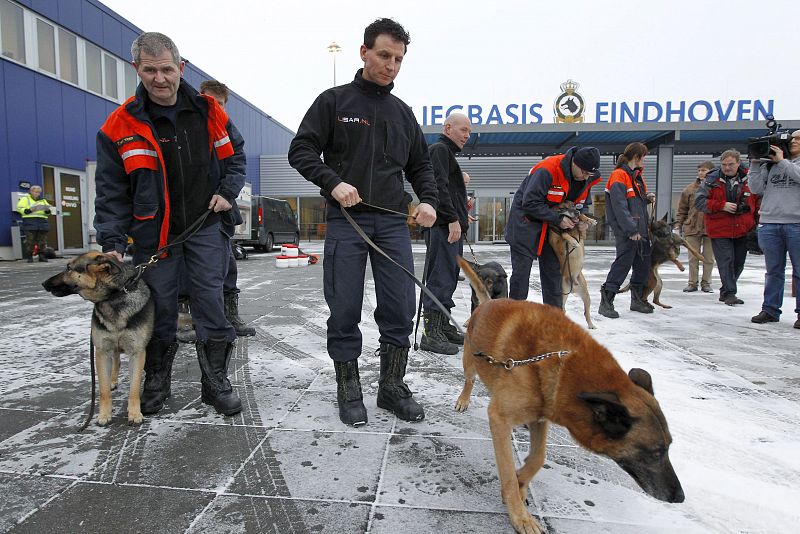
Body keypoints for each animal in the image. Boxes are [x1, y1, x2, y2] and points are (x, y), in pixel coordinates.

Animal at [43, 251, 155, 428]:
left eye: (69, 268)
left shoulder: (137, 353)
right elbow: (103, 390)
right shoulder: (102, 352)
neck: (114, 296)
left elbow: (134, 388)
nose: (44, 283)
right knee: (116, 362)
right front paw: (104, 414)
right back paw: (112, 381)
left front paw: (135, 413)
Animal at [454, 258, 684, 532]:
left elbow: (538, 457)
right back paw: (463, 399)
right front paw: (519, 515)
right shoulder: (499, 419)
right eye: (656, 453)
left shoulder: (541, 413)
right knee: (469, 380)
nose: (680, 497)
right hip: (470, 363)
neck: (563, 362)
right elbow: (508, 473)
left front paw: (522, 483)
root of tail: (488, 303)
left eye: (669, 448)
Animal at [548, 202, 596, 330]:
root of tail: (573, 287)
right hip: (563, 293)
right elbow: (564, 234)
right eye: (563, 208)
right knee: (562, 309)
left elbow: (581, 222)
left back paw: (591, 324)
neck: (570, 228)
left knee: (586, 312)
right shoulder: (557, 243)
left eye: (574, 206)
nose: (577, 212)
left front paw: (589, 220)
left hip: (586, 295)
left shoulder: (582, 235)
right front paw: (573, 241)